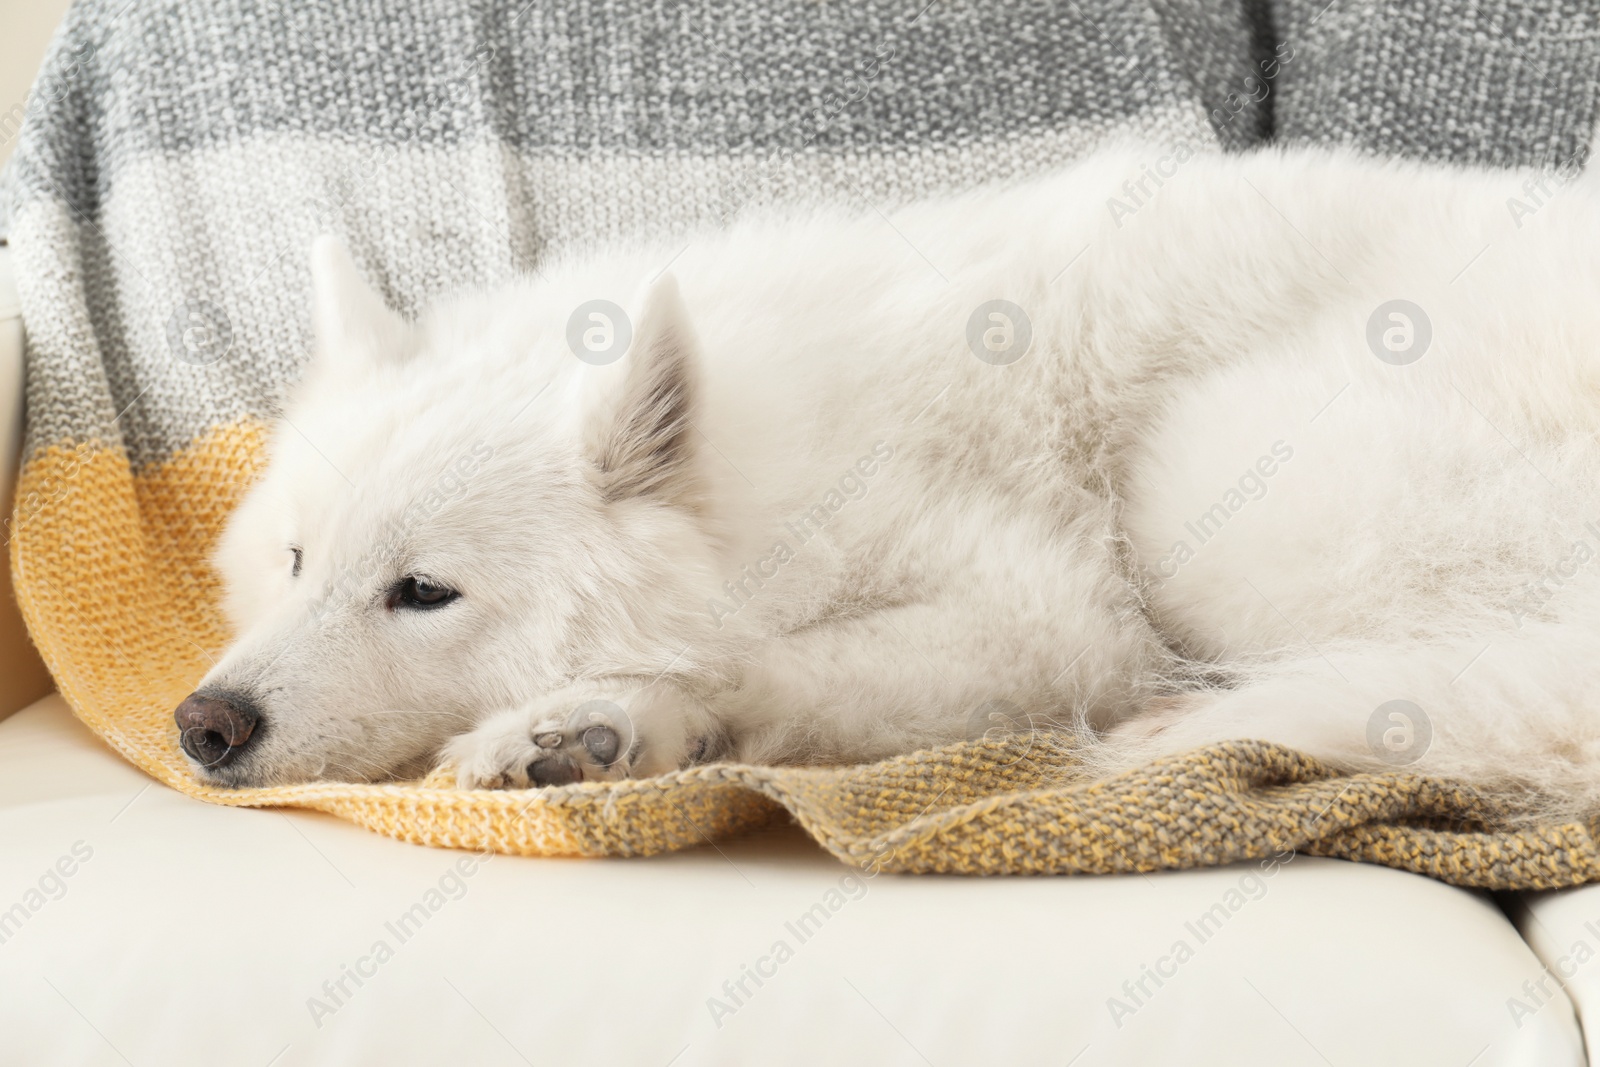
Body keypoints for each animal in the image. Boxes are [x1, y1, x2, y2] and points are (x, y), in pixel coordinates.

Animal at [181, 131, 1600, 819]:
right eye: (296, 559)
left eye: (423, 591)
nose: (204, 723)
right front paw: (608, 736)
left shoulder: (1051, 612)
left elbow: (781, 667)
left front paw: (607, 713)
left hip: (1210, 484)